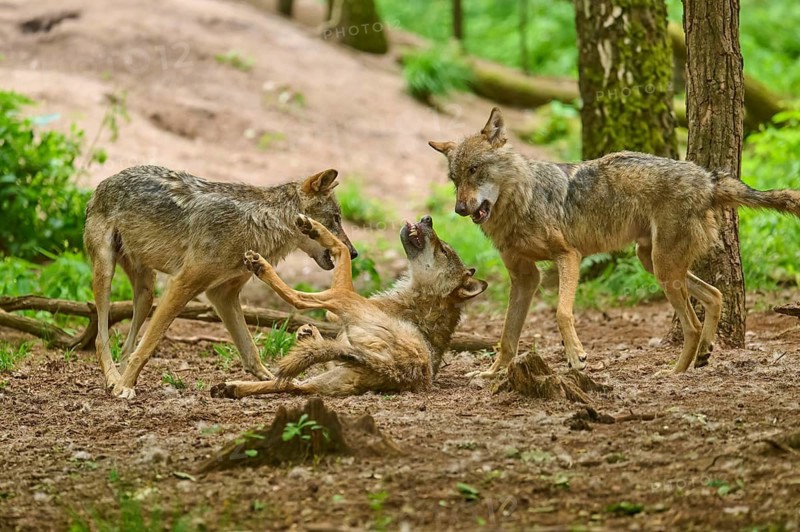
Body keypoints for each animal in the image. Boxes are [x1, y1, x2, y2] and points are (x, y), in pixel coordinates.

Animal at [84, 165, 356, 399]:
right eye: (335, 219)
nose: (353, 253)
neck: (258, 222)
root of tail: (104, 182)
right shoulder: (182, 284)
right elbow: (148, 346)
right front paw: (123, 388)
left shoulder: (222, 295)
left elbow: (251, 352)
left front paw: (273, 382)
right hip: (106, 273)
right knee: (101, 338)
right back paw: (114, 381)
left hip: (146, 291)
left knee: (126, 347)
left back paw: (118, 379)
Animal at [210, 214, 488, 398]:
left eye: (443, 251)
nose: (428, 218)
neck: (421, 298)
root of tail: (397, 370)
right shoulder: (340, 340)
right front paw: (313, 227)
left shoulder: (343, 304)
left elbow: (342, 249)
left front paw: (314, 228)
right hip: (328, 376)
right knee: (288, 384)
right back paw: (230, 388)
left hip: (344, 299)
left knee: (298, 299)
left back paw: (261, 266)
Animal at [429, 107, 800, 375]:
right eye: (454, 178)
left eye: (476, 170)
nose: (460, 209)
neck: (523, 200)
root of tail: (708, 178)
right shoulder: (524, 277)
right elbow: (508, 335)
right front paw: (491, 373)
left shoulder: (568, 256)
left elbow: (562, 313)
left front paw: (576, 358)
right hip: (653, 263)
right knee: (715, 295)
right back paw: (703, 356)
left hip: (662, 270)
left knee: (693, 324)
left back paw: (673, 373)